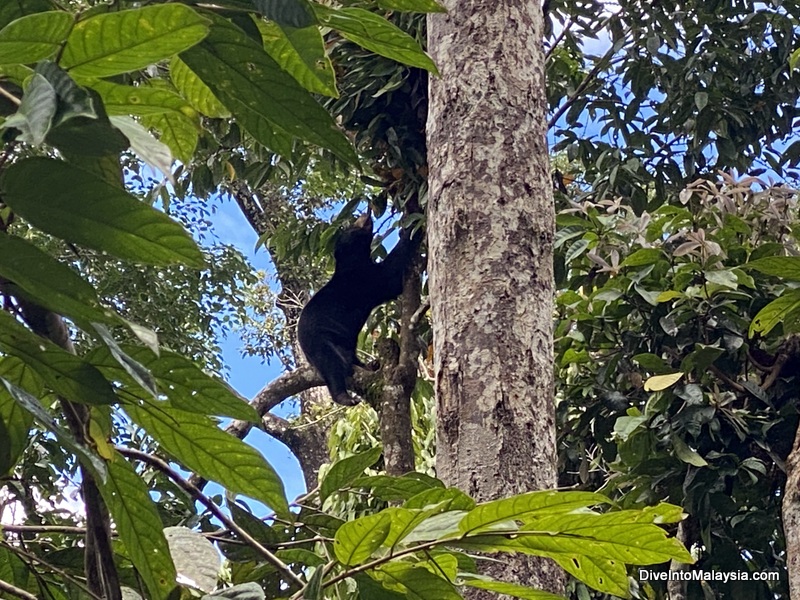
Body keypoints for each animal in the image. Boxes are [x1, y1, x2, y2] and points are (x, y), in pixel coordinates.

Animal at [296, 213, 418, 406]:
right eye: (352, 227)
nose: (366, 214)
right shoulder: (363, 279)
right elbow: (390, 278)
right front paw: (409, 230)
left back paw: (371, 365)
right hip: (320, 341)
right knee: (332, 364)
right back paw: (344, 397)